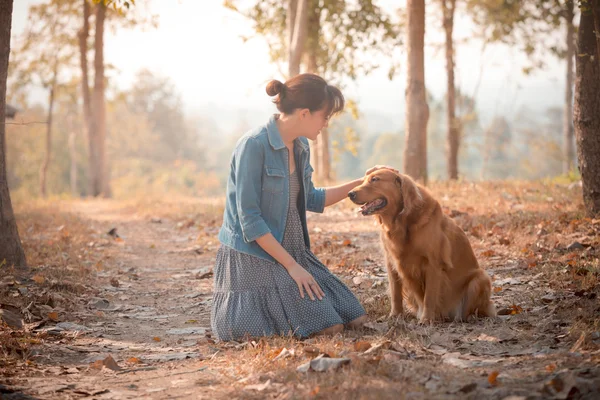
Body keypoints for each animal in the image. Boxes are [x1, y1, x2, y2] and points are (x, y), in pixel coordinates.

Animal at [346, 170, 496, 322]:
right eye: (364, 180)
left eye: (375, 179)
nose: (350, 193)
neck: (401, 223)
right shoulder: (391, 263)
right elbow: (395, 294)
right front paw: (395, 315)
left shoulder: (433, 264)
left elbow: (429, 296)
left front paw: (426, 319)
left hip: (481, 278)